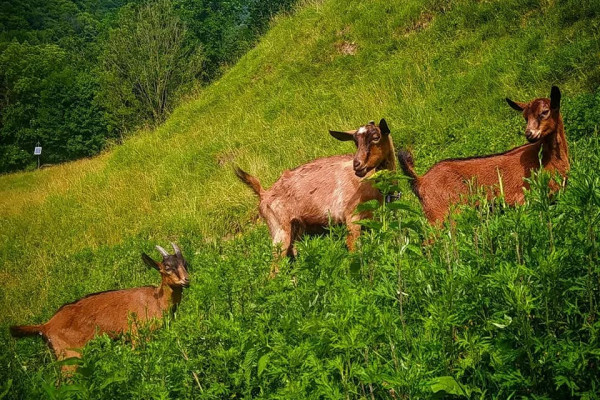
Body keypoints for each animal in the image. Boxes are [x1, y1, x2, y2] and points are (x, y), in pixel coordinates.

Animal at [9, 242, 188, 370]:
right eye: (167, 268)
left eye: (185, 263)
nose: (186, 280)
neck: (156, 300)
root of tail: (45, 325)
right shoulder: (138, 335)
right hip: (69, 357)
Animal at [396, 86, 568, 225]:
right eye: (525, 117)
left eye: (544, 112)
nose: (529, 134)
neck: (547, 158)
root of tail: (420, 180)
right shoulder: (524, 199)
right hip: (441, 214)